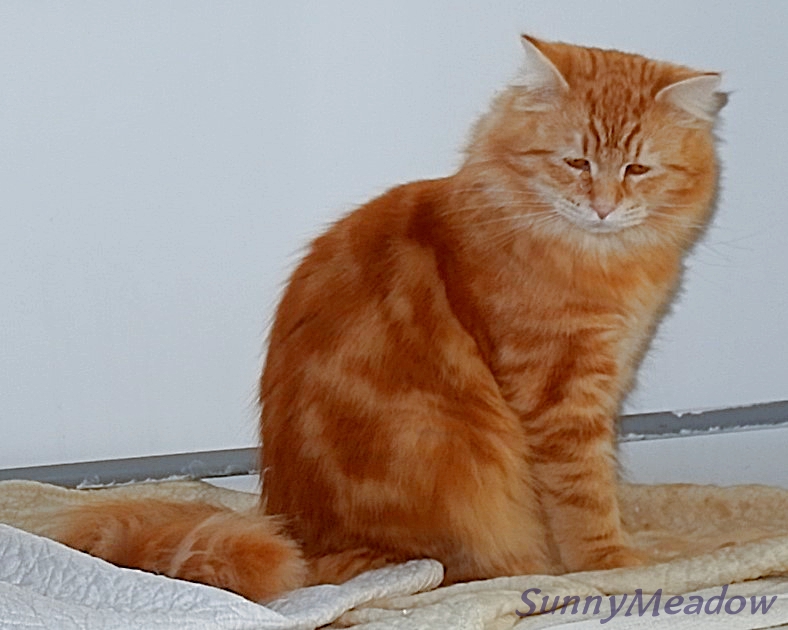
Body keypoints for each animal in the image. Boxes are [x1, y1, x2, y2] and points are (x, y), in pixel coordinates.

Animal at [52, 35, 725, 602]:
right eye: (577, 163)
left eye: (636, 169)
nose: (604, 208)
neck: (597, 257)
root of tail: (303, 535)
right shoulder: (559, 397)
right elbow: (584, 497)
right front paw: (611, 564)